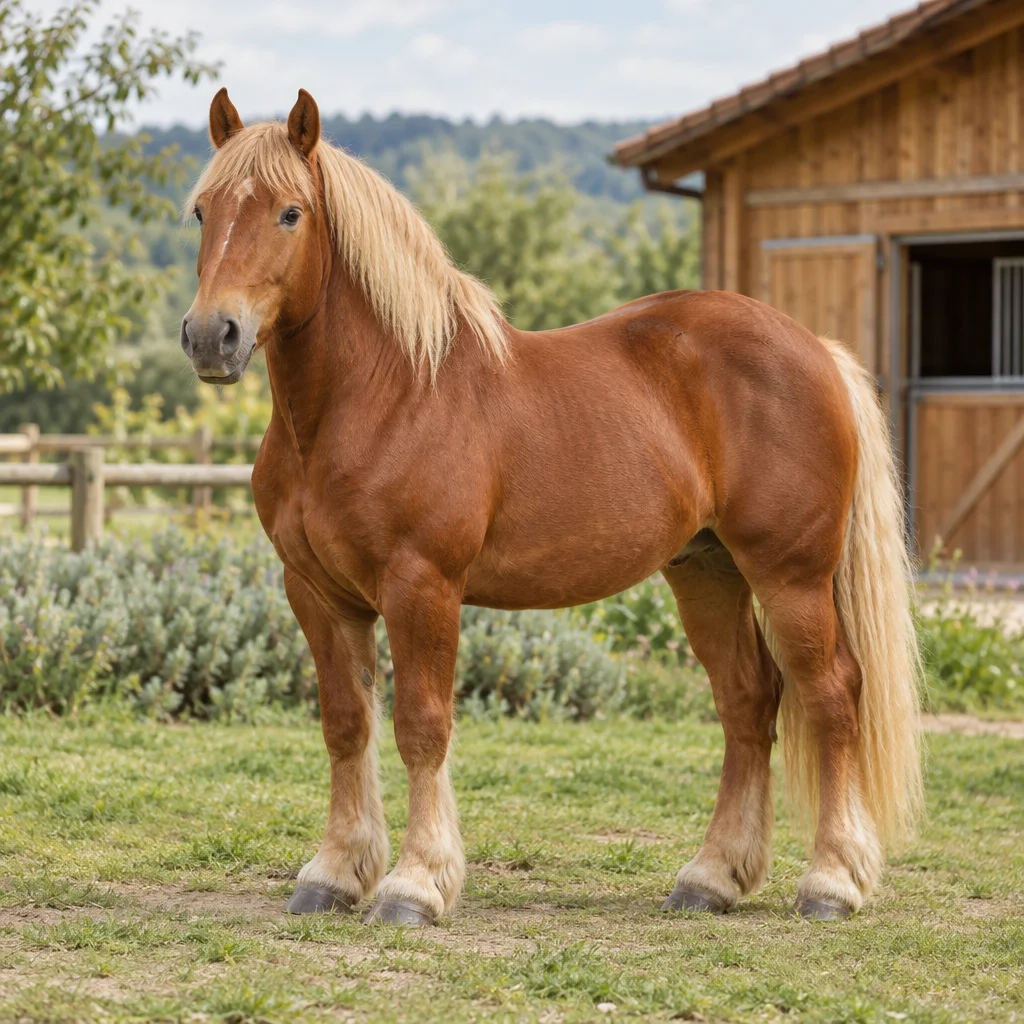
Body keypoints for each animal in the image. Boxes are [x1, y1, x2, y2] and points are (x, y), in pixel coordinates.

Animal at [180, 87, 923, 927]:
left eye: (290, 213)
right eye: (203, 211)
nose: (212, 336)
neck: (386, 394)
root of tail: (816, 350)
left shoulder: (421, 586)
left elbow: (421, 727)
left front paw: (415, 885)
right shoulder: (316, 593)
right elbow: (346, 725)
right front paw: (335, 874)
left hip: (790, 577)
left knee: (830, 697)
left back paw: (831, 881)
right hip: (708, 574)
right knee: (747, 702)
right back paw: (711, 878)